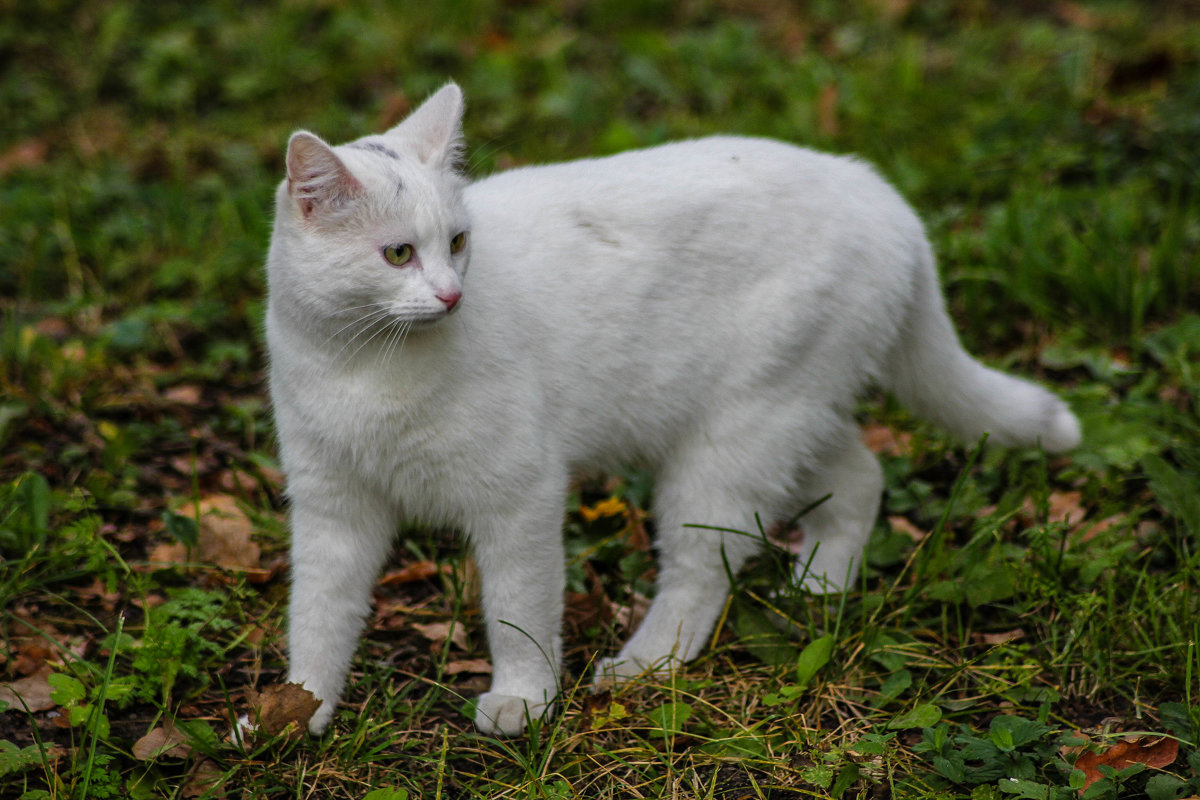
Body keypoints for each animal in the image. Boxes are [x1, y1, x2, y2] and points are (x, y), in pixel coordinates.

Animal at [265, 82, 1080, 738]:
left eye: (459, 242)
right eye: (399, 255)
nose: (451, 294)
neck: (366, 365)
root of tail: (881, 193)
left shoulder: (520, 497)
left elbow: (518, 611)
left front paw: (525, 701)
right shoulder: (332, 508)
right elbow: (318, 614)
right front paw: (298, 711)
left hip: (733, 443)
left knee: (703, 571)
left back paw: (645, 664)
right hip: (790, 413)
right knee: (862, 472)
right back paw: (822, 583)